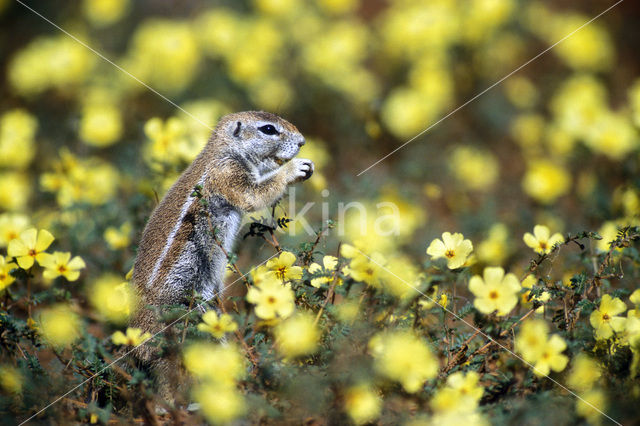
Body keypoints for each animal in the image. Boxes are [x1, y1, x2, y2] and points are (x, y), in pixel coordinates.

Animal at [129, 110, 312, 396]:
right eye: (268, 129)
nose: (303, 142)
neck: (226, 150)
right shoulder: (228, 173)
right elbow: (255, 194)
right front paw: (294, 169)